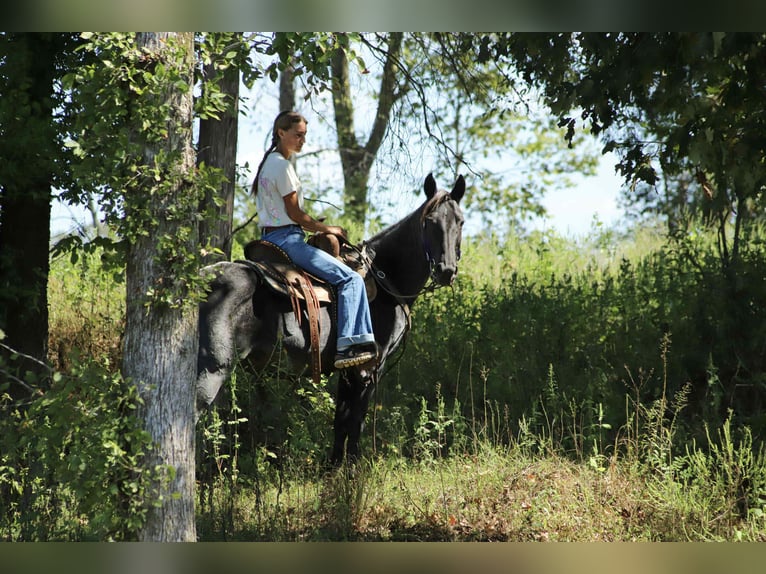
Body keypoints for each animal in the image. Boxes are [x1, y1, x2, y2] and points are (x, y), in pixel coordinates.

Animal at [196, 173, 465, 464]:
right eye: (430, 222)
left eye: (460, 221)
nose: (446, 270)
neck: (386, 280)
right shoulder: (369, 367)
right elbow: (356, 421)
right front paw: (353, 468)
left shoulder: (349, 370)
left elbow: (341, 422)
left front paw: (334, 466)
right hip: (212, 370)